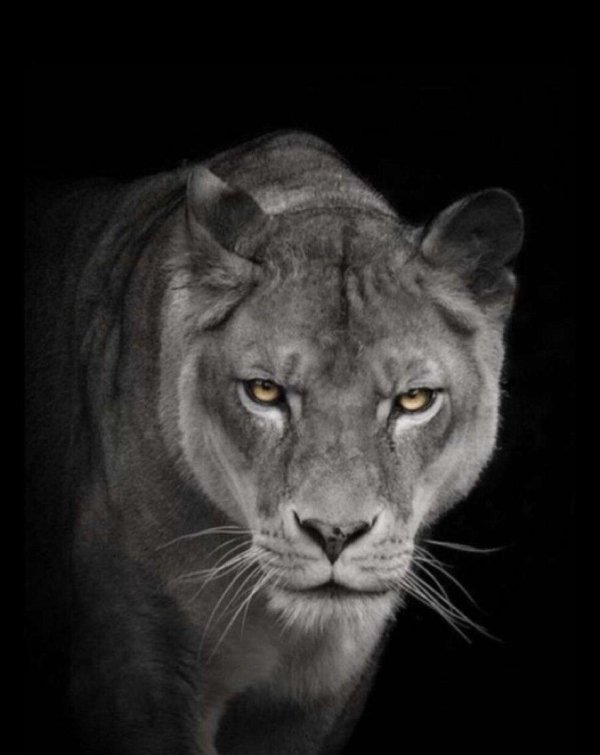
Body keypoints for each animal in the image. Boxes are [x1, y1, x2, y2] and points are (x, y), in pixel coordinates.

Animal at [25, 131, 523, 754]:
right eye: (265, 391)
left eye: (413, 400)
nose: (334, 534)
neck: (278, 627)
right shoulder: (137, 670)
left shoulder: (316, 704)